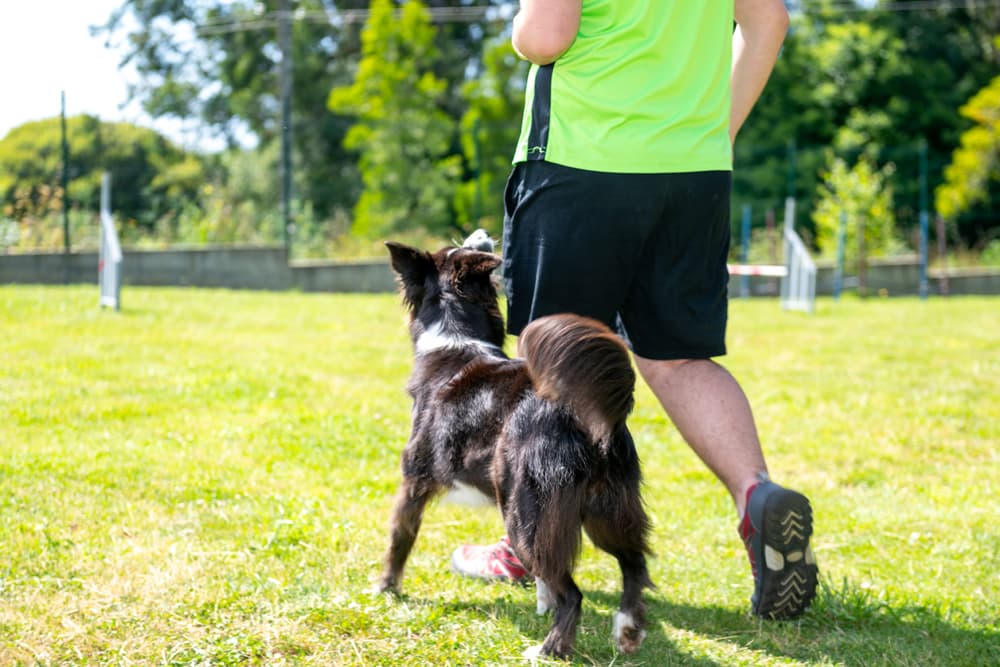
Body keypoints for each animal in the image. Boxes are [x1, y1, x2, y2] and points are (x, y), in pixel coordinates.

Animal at [378, 232, 652, 660]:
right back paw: (627, 630)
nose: (484, 235)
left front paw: (386, 588)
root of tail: (588, 420)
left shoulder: (414, 481)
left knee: (573, 593)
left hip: (525, 513)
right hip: (607, 510)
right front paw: (541, 605)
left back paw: (549, 650)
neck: (455, 334)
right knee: (634, 565)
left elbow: (399, 539)